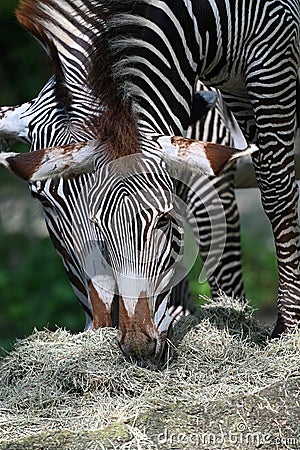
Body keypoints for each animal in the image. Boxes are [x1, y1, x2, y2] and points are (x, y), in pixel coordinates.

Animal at [1, 0, 298, 368]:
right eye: (42, 199)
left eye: (164, 219)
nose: (118, 333)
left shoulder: (268, 60)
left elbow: (274, 194)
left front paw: (281, 330)